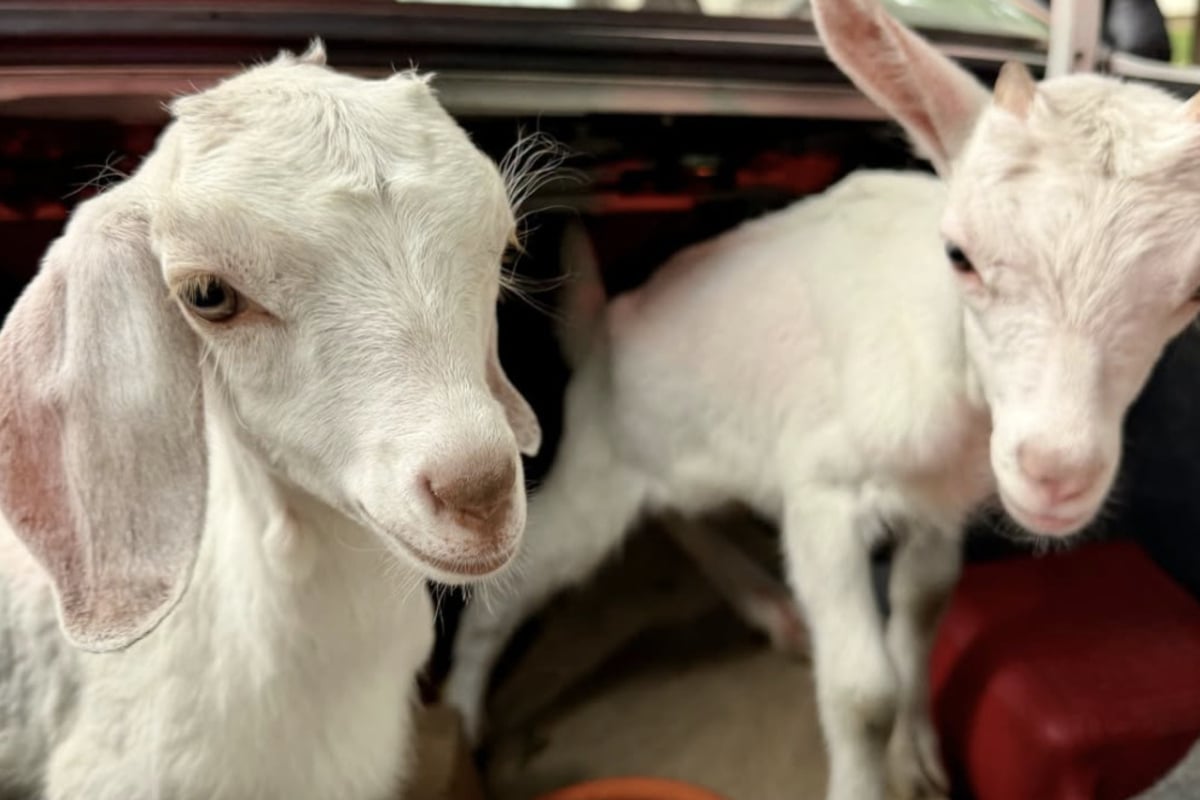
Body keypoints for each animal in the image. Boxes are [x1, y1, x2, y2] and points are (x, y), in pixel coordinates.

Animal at [445, 2, 1200, 798]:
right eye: (959, 254)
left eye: (1192, 292)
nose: (1056, 473)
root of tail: (598, 334)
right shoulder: (821, 491)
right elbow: (864, 692)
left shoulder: (941, 503)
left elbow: (922, 617)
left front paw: (920, 759)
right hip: (597, 463)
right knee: (519, 578)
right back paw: (460, 716)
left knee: (681, 510)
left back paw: (767, 607)